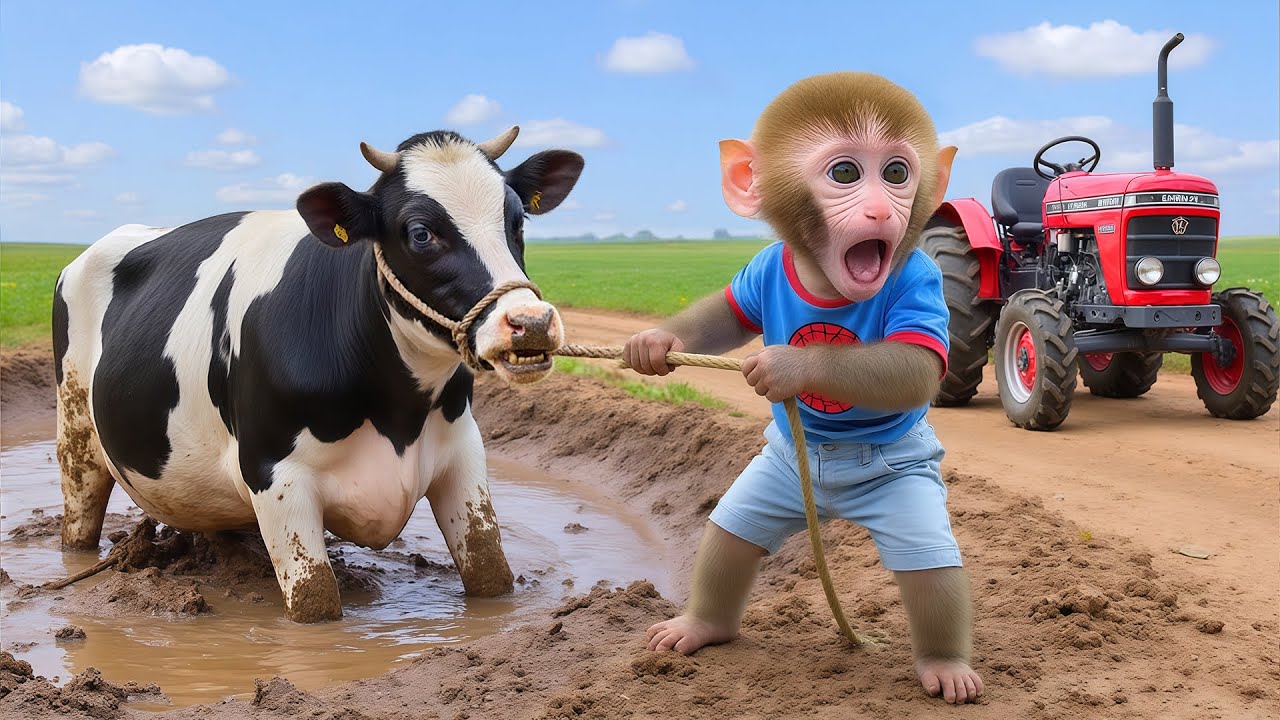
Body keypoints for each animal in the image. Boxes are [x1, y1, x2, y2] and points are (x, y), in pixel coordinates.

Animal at [53, 127, 583, 622]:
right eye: (420, 232)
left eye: (517, 220)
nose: (531, 322)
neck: (398, 411)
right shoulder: (274, 474)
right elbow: (316, 604)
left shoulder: (462, 454)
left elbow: (491, 574)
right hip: (76, 435)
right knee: (79, 513)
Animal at [624, 72, 982, 704]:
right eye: (844, 173)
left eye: (897, 172)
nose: (879, 210)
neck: (825, 285)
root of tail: (835, 498)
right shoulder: (762, 268)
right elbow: (725, 313)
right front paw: (654, 343)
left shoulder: (920, 281)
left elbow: (914, 364)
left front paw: (787, 366)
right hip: (773, 483)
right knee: (728, 541)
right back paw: (699, 627)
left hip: (909, 492)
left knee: (932, 575)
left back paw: (945, 667)